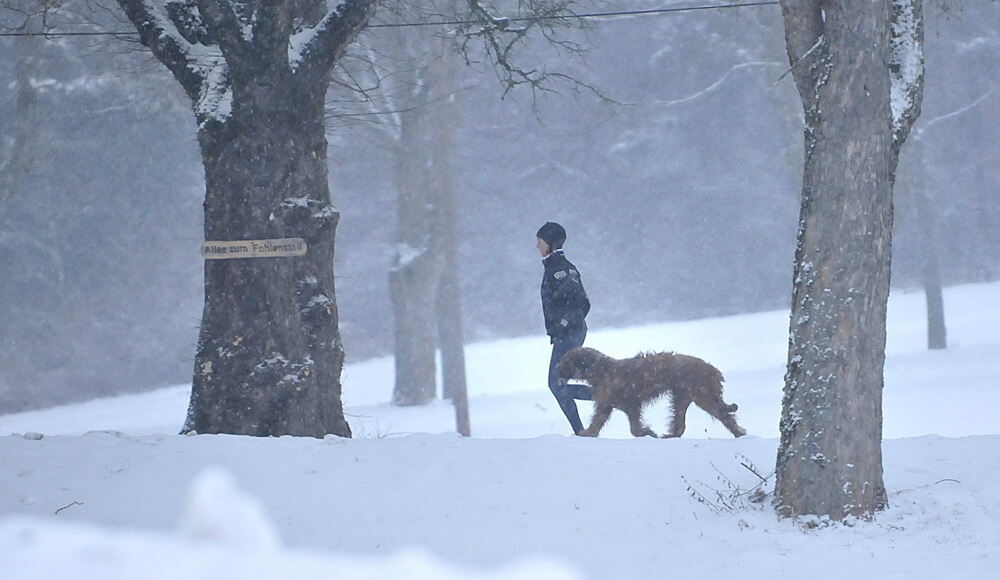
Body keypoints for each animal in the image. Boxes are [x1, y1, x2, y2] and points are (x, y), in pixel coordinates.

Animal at [560, 346, 748, 438]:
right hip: (682, 397)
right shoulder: (621, 406)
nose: (556, 369)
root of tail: (712, 369)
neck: (602, 370)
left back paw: (739, 433)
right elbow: (625, 424)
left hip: (702, 394)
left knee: (723, 415)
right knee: (680, 423)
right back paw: (671, 435)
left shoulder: (625, 404)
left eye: (567, 361)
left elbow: (627, 426)